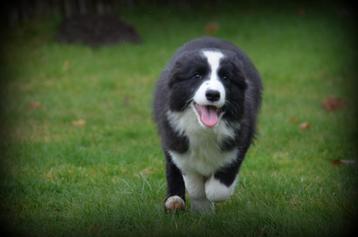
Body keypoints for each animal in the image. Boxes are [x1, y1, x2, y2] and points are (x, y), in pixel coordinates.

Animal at [152, 37, 262, 213]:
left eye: (226, 78)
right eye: (196, 75)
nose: (213, 94)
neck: (205, 129)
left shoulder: (239, 139)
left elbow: (218, 190)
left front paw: (208, 200)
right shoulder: (176, 136)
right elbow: (193, 182)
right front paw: (202, 208)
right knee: (171, 165)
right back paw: (174, 200)